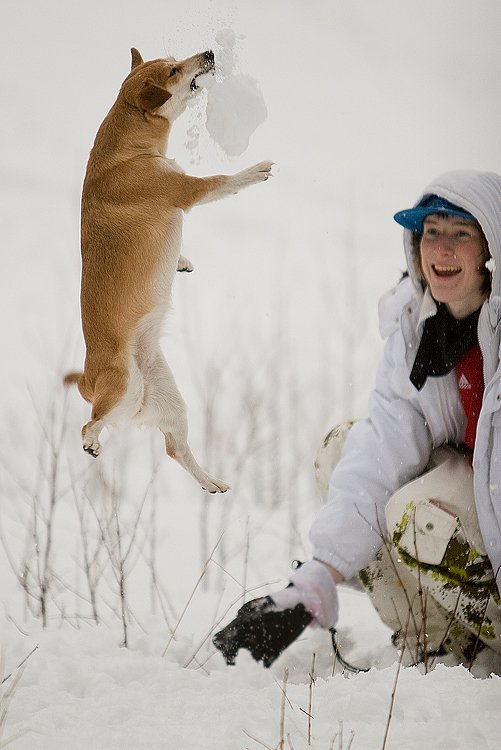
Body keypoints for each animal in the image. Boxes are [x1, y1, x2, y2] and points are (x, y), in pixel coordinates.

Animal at [65, 47, 274, 494]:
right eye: (175, 70)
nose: (209, 52)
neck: (130, 150)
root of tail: (91, 378)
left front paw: (182, 261)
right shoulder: (188, 191)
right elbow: (225, 180)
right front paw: (255, 170)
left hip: (169, 401)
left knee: (175, 449)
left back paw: (211, 481)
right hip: (124, 391)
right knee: (91, 423)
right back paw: (91, 442)